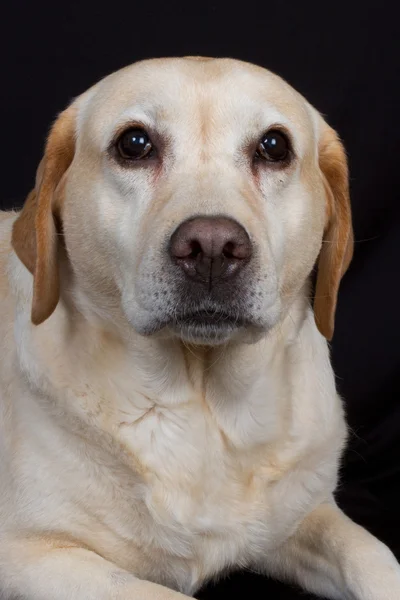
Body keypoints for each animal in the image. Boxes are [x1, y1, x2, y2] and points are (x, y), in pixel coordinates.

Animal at [0, 57, 400, 600]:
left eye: (274, 147)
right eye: (134, 144)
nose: (211, 247)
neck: (204, 406)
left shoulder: (304, 516)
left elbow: (374, 558)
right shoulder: (30, 553)